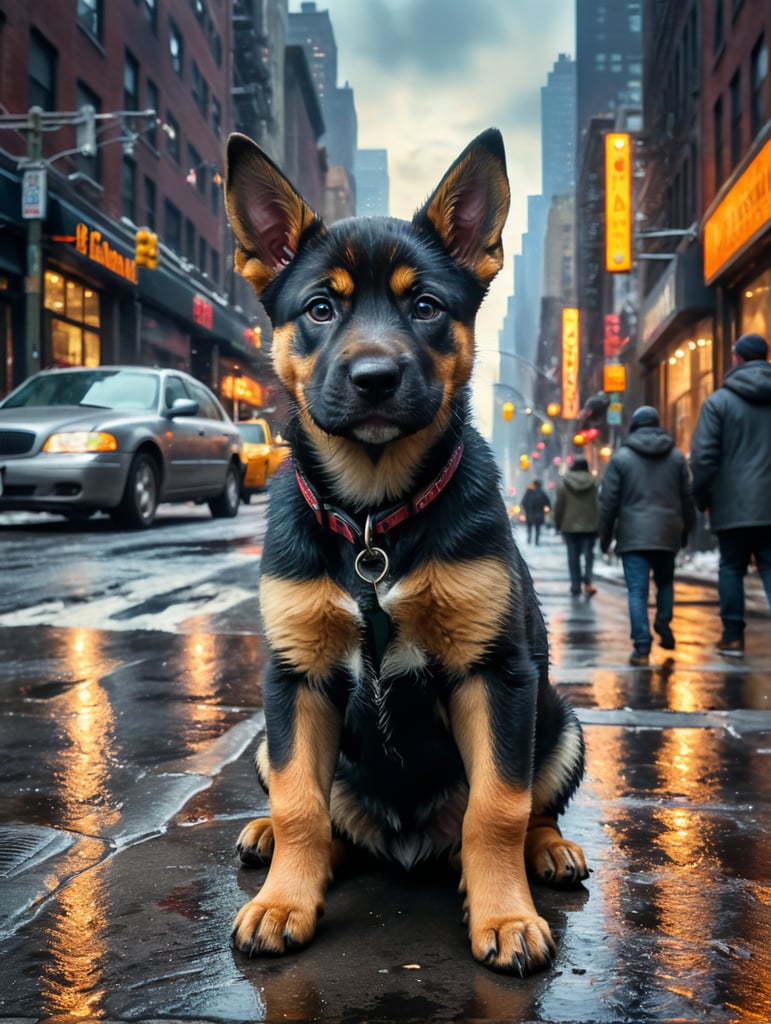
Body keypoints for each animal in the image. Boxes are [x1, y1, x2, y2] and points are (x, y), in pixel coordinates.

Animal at [225, 130, 585, 974]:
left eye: (425, 306)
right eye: (319, 307)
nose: (375, 377)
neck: (372, 519)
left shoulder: (497, 674)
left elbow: (497, 807)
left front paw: (505, 914)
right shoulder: (294, 678)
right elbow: (298, 804)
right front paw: (284, 902)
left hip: (560, 724)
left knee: (531, 808)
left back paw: (549, 852)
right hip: (266, 730)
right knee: (314, 815)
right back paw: (270, 840)